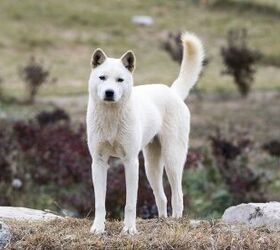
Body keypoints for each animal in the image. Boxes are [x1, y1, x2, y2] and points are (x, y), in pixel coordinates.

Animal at [86, 30, 203, 234]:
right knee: (162, 197)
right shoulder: (99, 162)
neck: (111, 117)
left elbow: (130, 204)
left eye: (120, 80)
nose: (109, 93)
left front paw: (129, 230)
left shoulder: (131, 162)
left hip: (172, 160)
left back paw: (175, 221)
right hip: (151, 167)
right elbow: (100, 203)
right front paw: (98, 228)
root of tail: (172, 92)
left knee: (178, 195)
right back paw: (162, 220)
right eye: (102, 77)